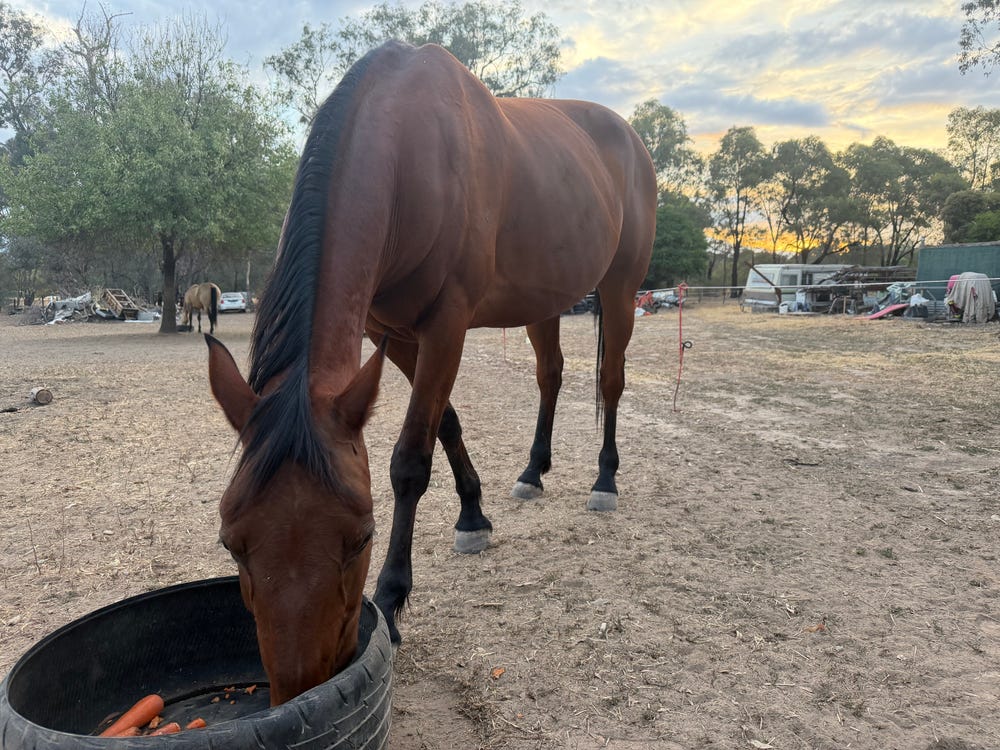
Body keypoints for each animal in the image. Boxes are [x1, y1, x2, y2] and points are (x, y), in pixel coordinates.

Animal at [205, 40, 656, 706]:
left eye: (362, 536)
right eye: (231, 542)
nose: (302, 686)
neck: (410, 154)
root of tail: (628, 137)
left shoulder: (446, 324)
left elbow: (410, 459)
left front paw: (392, 598)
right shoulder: (388, 333)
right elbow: (446, 422)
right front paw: (474, 513)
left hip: (621, 289)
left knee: (610, 380)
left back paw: (605, 481)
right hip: (543, 302)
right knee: (550, 374)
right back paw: (532, 471)